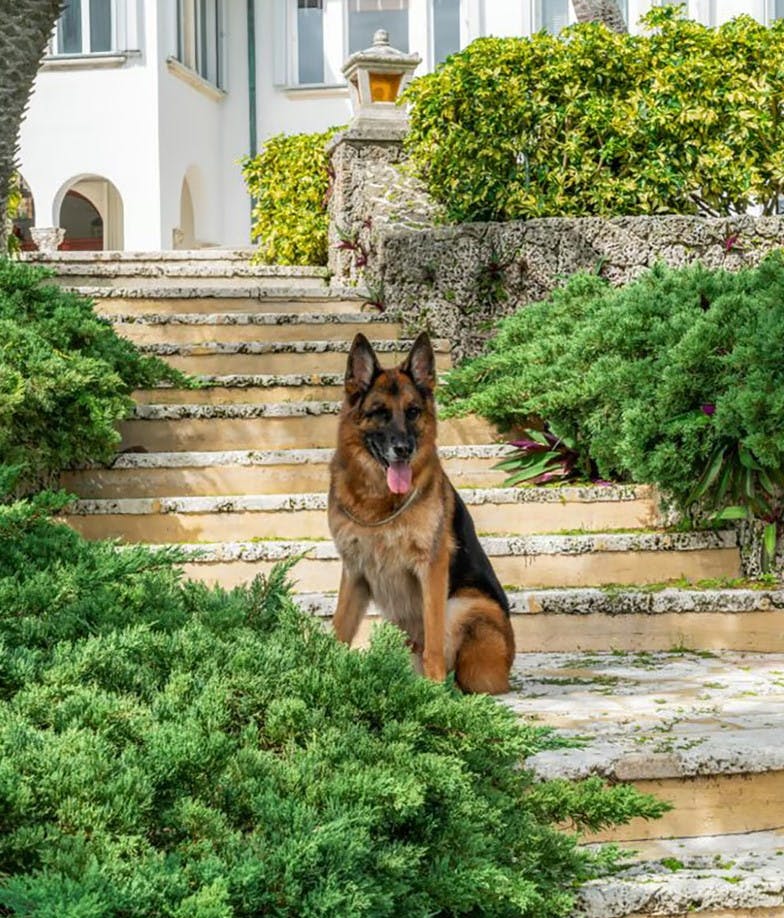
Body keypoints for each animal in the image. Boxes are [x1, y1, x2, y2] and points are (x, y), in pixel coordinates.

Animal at [328, 334, 516, 692]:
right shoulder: (355, 571)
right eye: (380, 413)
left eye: (413, 412)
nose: (404, 449)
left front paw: (434, 690)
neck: (378, 502)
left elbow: (433, 641)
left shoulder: (431, 567)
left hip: (464, 604)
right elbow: (338, 629)